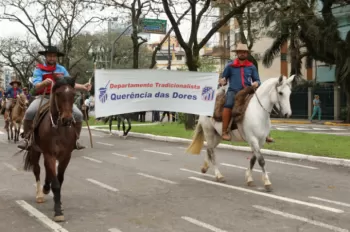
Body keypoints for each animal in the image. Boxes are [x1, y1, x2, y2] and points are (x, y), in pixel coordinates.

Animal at [21, 75, 77, 221]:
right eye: (58, 93)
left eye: (73, 94)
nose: (67, 119)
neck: (59, 128)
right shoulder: (49, 154)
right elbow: (56, 183)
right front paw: (58, 212)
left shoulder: (66, 156)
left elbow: (60, 179)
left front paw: (59, 204)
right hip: (35, 151)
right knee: (37, 169)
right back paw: (40, 194)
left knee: (47, 170)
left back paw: (46, 187)